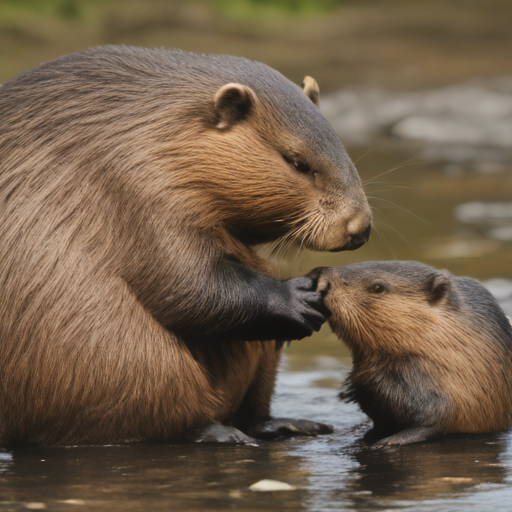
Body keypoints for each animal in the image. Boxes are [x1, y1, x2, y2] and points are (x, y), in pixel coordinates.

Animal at [0, 45, 370, 444]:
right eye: (297, 161)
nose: (360, 227)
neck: (149, 126)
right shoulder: (139, 188)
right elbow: (186, 286)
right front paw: (299, 299)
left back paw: (290, 425)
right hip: (134, 361)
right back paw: (223, 433)